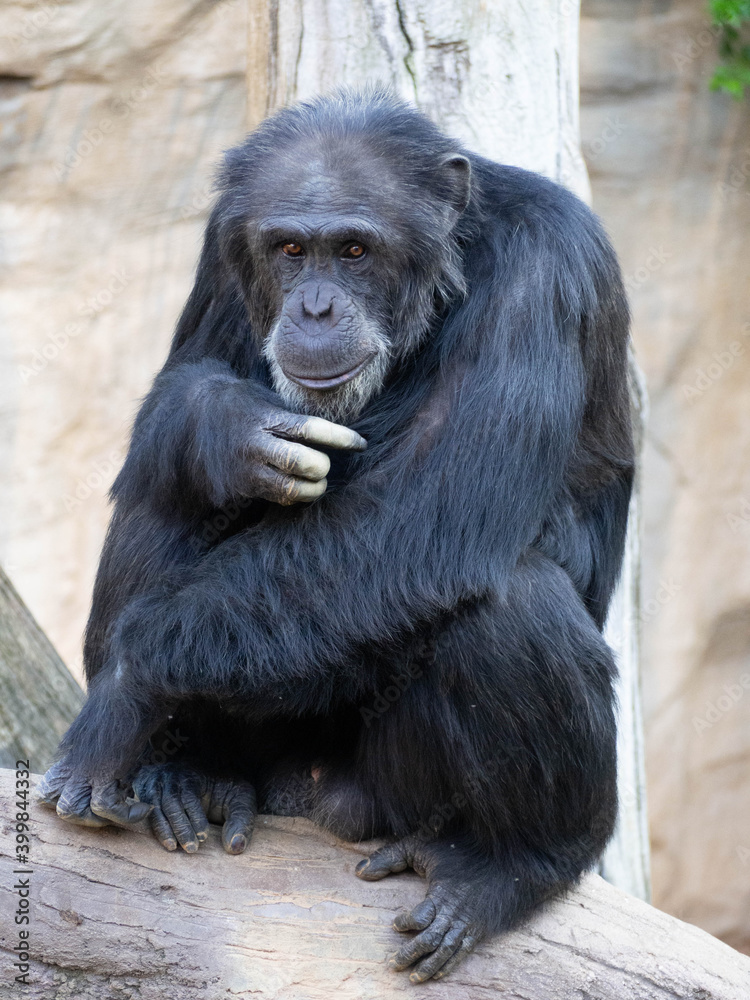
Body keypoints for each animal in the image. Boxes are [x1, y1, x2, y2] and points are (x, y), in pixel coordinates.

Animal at [36, 90, 636, 980]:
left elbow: (422, 516)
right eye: (290, 249)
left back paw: (520, 864)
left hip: (387, 797)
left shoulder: (546, 272)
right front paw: (228, 428)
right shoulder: (221, 249)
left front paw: (121, 694)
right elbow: (183, 389)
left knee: (512, 603)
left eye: (354, 250)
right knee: (165, 486)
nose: (315, 307)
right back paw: (189, 774)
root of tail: (305, 792)